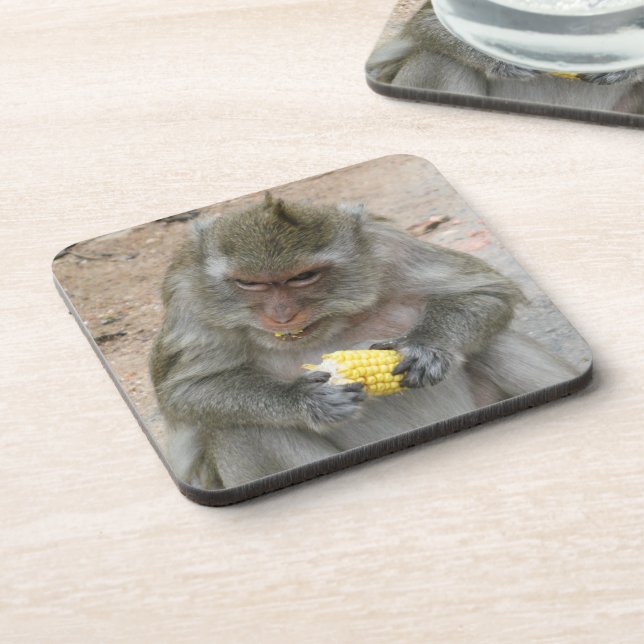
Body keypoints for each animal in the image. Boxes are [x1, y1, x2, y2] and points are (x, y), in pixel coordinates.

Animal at [150, 193, 579, 490]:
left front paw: (427, 347)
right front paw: (303, 399)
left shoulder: (387, 244)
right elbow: (188, 392)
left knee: (495, 344)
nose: (282, 315)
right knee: (237, 428)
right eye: (249, 283)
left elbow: (485, 290)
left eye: (303, 277)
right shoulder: (188, 298)